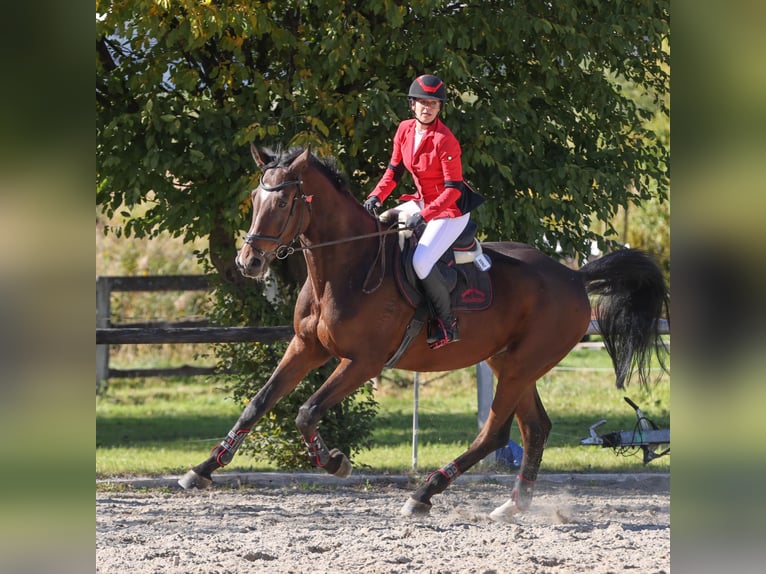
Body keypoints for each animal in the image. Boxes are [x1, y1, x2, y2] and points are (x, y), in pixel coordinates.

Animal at [178, 145, 669, 521]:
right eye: (253, 199)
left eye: (282, 204)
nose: (249, 263)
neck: (345, 266)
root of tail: (573, 276)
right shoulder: (306, 347)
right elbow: (258, 404)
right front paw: (201, 470)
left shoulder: (363, 362)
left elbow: (307, 411)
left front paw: (335, 462)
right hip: (510, 363)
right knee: (535, 428)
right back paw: (512, 506)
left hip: (520, 365)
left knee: (495, 433)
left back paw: (424, 494)